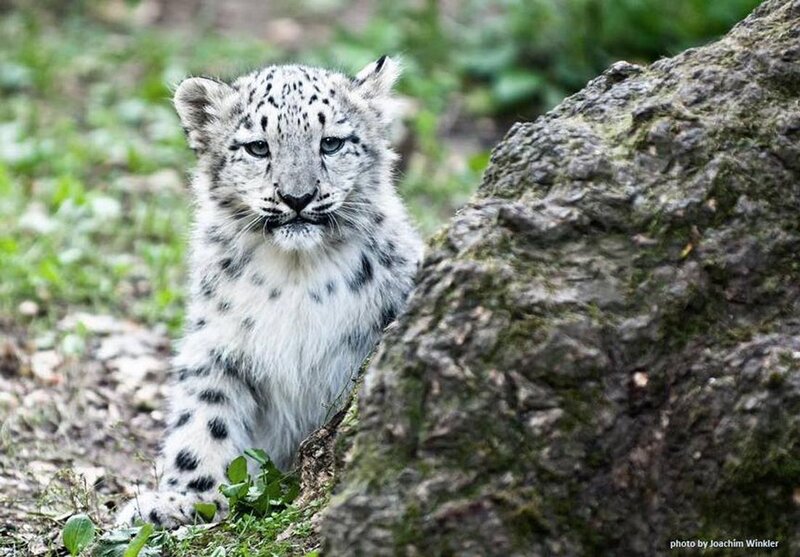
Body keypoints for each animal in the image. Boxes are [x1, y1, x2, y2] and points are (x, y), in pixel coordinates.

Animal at [115, 56, 423, 528]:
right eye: (258, 147)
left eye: (331, 143)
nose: (298, 197)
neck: (297, 273)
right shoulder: (217, 342)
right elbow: (203, 416)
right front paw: (183, 499)